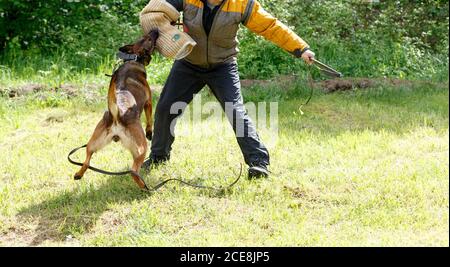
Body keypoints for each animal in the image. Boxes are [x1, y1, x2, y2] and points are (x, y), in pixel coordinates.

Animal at [73, 29, 159, 191]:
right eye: (149, 38)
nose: (155, 30)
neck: (134, 58)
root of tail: (116, 115)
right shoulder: (149, 103)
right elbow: (150, 119)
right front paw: (150, 132)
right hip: (141, 148)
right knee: (133, 170)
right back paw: (144, 187)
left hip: (93, 142)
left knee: (87, 159)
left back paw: (79, 174)